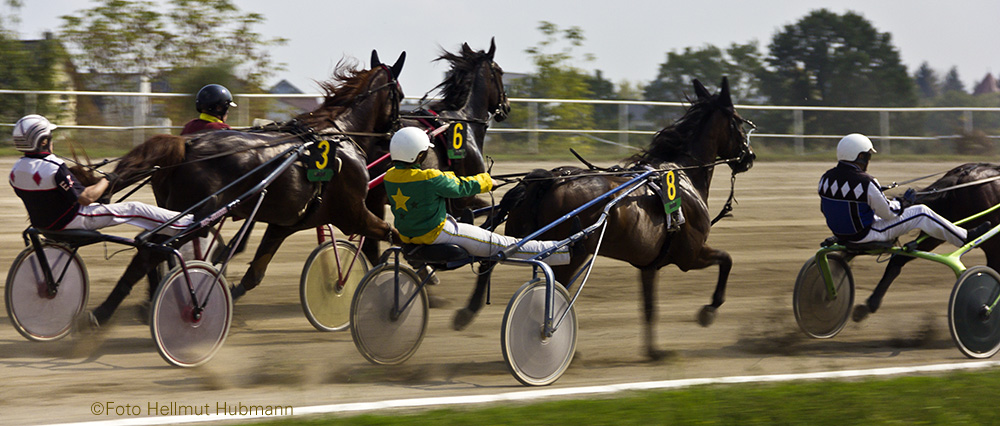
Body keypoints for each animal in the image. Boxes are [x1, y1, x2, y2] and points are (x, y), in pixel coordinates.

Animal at [109, 51, 406, 302]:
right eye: (400, 95)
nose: (398, 130)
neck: (338, 134)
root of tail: (187, 146)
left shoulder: (286, 223)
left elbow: (254, 274)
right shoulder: (353, 214)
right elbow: (393, 235)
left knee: (148, 248)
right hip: (194, 216)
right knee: (150, 251)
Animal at [360, 38, 512, 262]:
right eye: (500, 72)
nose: (507, 107)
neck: (463, 119)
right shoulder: (463, 198)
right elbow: (486, 211)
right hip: (375, 200)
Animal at [458, 77, 752, 360]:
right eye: (739, 122)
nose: (749, 157)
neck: (683, 173)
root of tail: (550, 178)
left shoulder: (649, 264)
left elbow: (650, 307)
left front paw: (654, 351)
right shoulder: (689, 255)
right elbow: (727, 260)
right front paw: (709, 310)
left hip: (523, 234)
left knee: (490, 259)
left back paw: (467, 311)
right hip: (572, 253)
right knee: (552, 289)